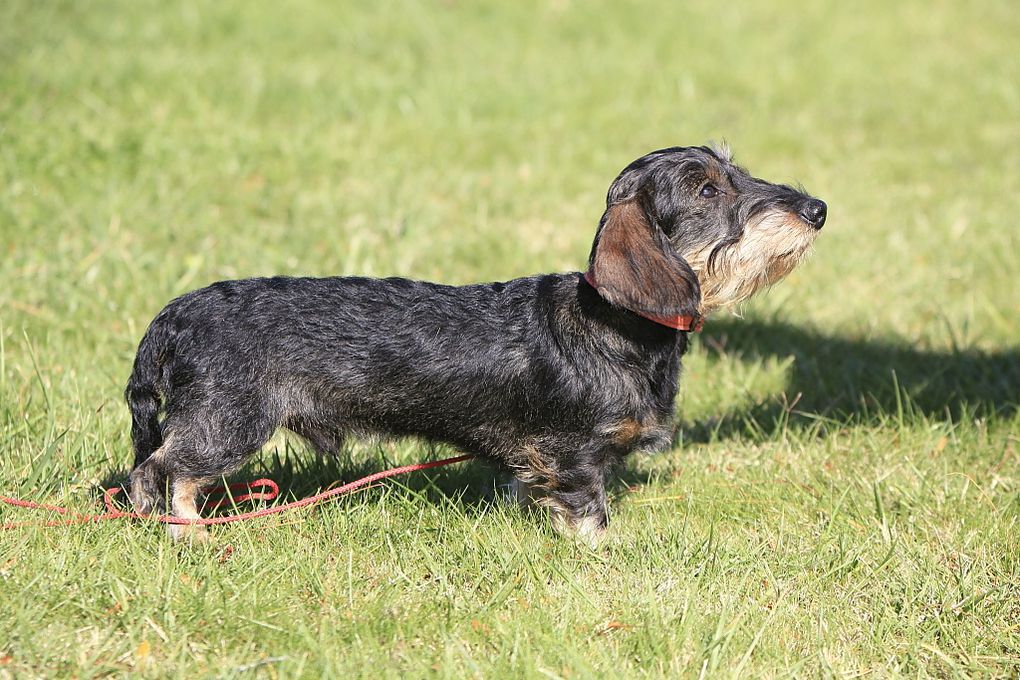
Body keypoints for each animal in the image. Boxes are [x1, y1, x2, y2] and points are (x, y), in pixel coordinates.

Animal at [127, 143, 828, 542]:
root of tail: (176, 315)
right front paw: (603, 554)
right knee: (159, 471)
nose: (817, 209)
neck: (616, 324)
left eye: (738, 171)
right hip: (228, 424)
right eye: (707, 188)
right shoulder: (573, 452)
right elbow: (587, 509)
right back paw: (186, 533)